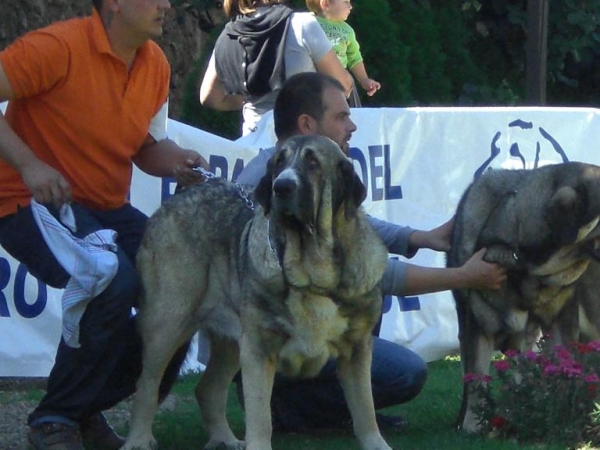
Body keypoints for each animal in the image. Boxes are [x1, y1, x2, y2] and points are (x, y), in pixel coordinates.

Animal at [122, 135, 394, 450]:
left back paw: (225, 439)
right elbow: (261, 416)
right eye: (279, 161)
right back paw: (138, 440)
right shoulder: (259, 349)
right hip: (169, 321)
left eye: (313, 162)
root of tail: (180, 196)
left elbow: (365, 408)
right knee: (148, 383)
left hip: (230, 338)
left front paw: (376, 443)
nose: (282, 186)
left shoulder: (357, 349)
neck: (312, 271)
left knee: (208, 388)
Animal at [448, 162, 600, 432]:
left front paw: (560, 416)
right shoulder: (476, 325)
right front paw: (472, 427)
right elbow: (475, 378)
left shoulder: (562, 321)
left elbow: (563, 372)